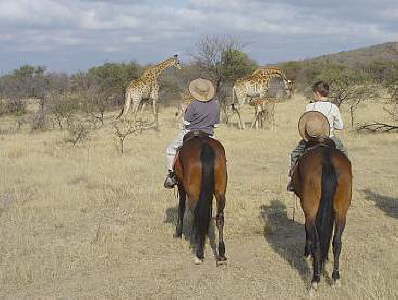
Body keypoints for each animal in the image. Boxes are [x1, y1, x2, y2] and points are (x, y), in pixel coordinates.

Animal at [174, 131, 227, 264]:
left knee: (197, 215)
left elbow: (181, 206)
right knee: (219, 218)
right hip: (220, 192)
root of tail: (205, 146)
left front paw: (178, 233)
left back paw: (199, 252)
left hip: (193, 192)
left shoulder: (181, 186)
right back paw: (221, 254)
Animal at [292, 138, 352, 292]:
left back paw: (315, 279)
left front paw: (307, 254)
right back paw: (336, 277)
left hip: (311, 210)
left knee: (317, 242)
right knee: (337, 242)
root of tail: (327, 160)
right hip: (342, 212)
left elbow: (308, 231)